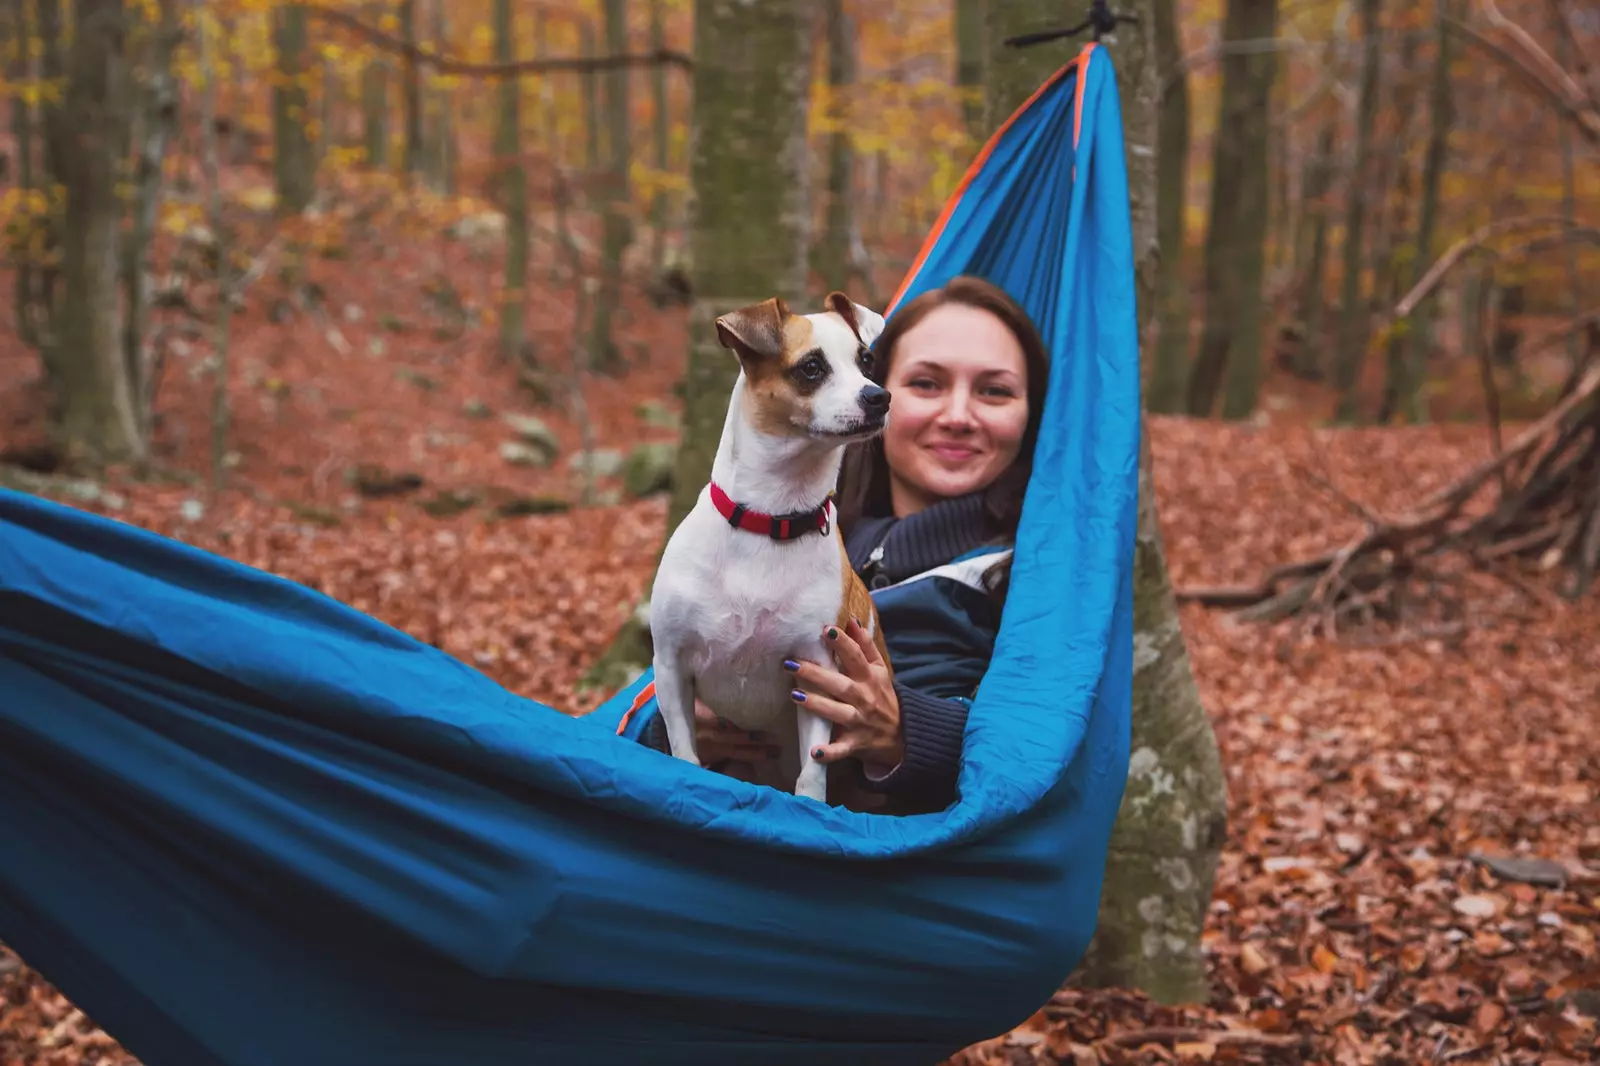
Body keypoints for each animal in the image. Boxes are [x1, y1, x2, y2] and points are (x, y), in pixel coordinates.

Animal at [652, 291, 902, 797]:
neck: (772, 520)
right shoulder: (670, 666)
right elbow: (685, 751)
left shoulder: (817, 672)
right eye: (811, 367)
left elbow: (812, 770)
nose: (879, 396)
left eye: (866, 361)